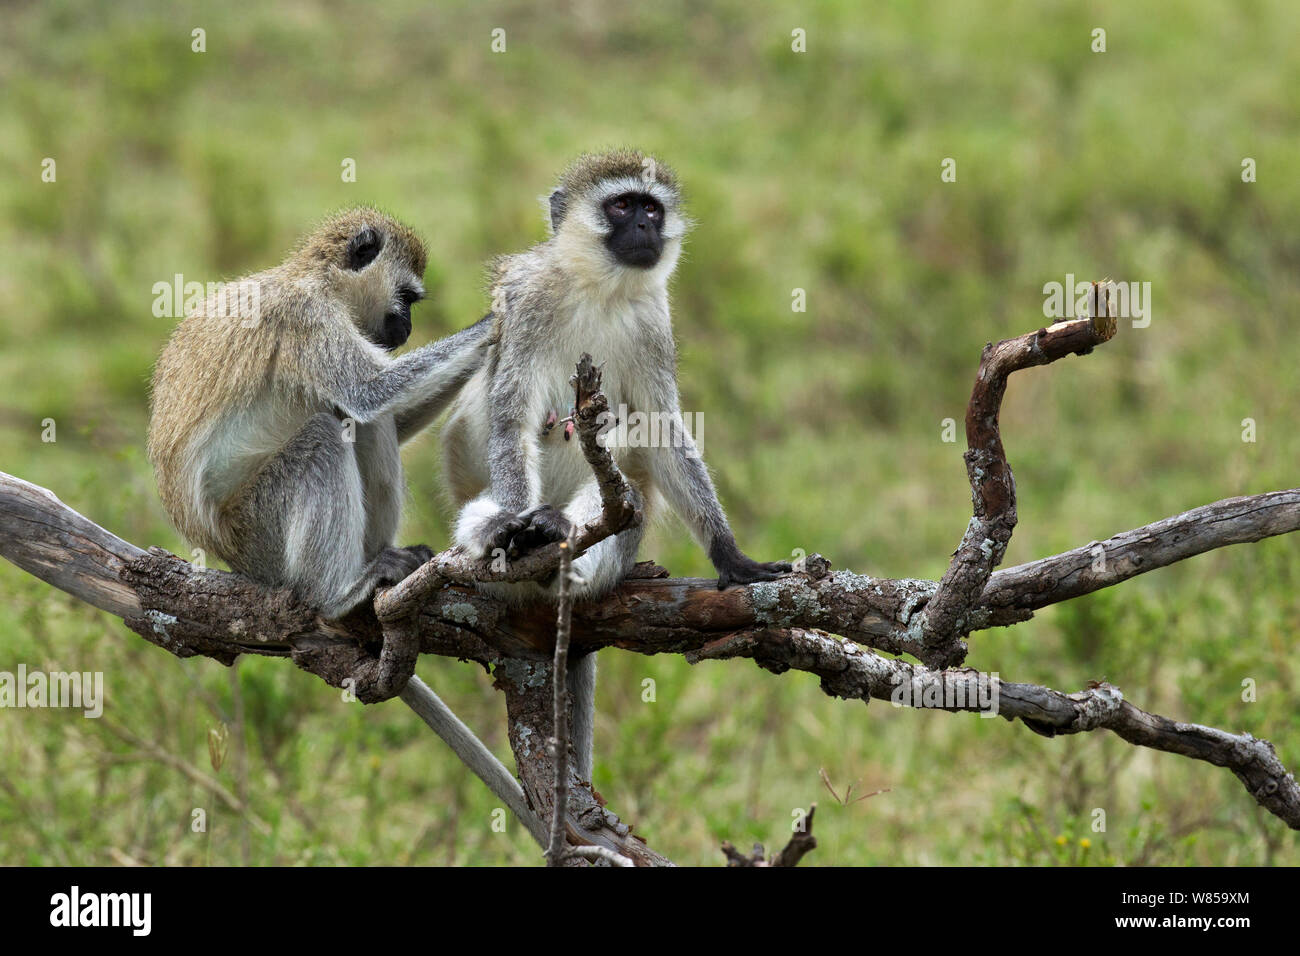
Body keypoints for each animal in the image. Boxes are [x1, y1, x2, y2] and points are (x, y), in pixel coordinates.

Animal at [148, 205, 491, 616]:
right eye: (406, 298)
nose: (408, 328)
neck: (321, 282)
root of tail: (228, 554)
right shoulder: (307, 317)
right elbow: (368, 391)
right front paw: (501, 318)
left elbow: (379, 411)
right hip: (259, 531)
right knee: (323, 438)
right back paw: (337, 594)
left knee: (365, 425)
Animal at [441, 149, 790, 780]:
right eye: (623, 205)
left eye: (652, 207)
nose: (647, 226)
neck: (597, 289)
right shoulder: (526, 302)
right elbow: (510, 420)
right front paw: (508, 520)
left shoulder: (654, 320)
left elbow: (665, 432)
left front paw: (730, 555)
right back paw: (510, 533)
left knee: (628, 462)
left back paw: (558, 543)